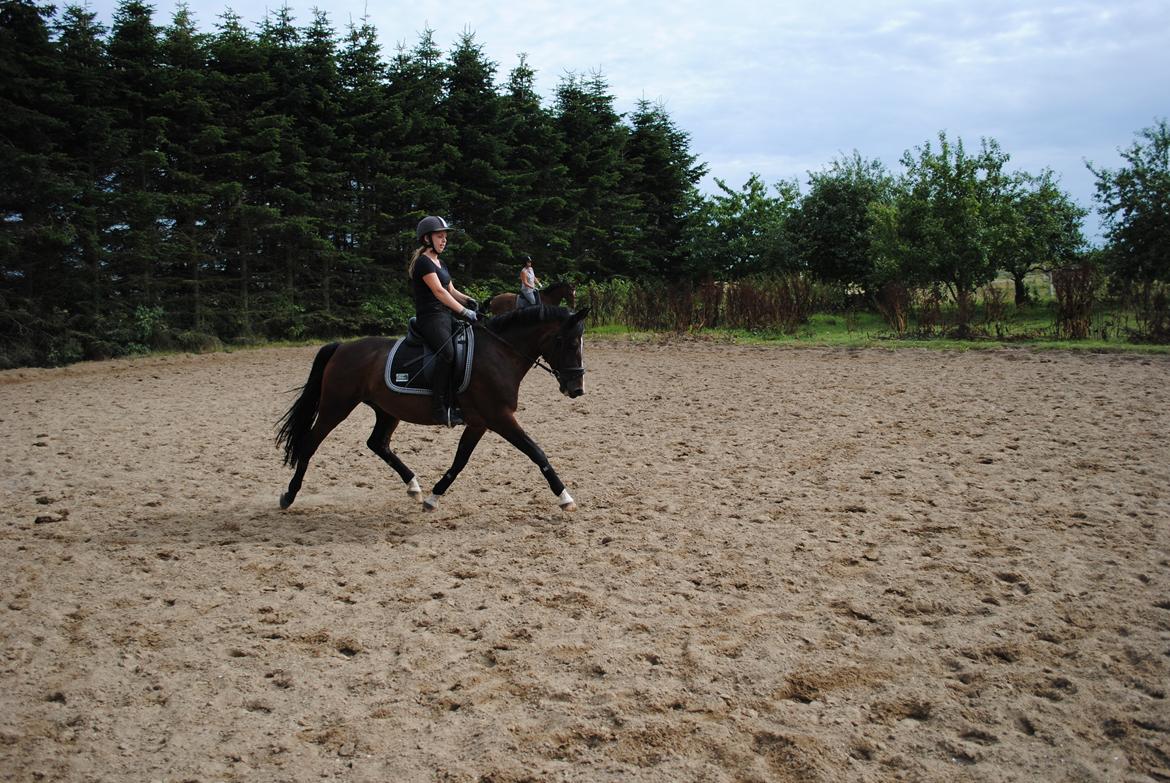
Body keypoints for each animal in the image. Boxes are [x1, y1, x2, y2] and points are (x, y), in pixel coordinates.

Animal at [271, 304, 585, 512]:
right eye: (568, 343)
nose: (577, 388)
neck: (500, 353)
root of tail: (341, 347)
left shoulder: (479, 422)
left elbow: (460, 460)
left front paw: (434, 497)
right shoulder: (499, 417)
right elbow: (536, 451)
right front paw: (565, 498)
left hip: (387, 410)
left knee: (377, 443)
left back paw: (414, 487)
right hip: (336, 406)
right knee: (310, 443)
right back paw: (289, 495)